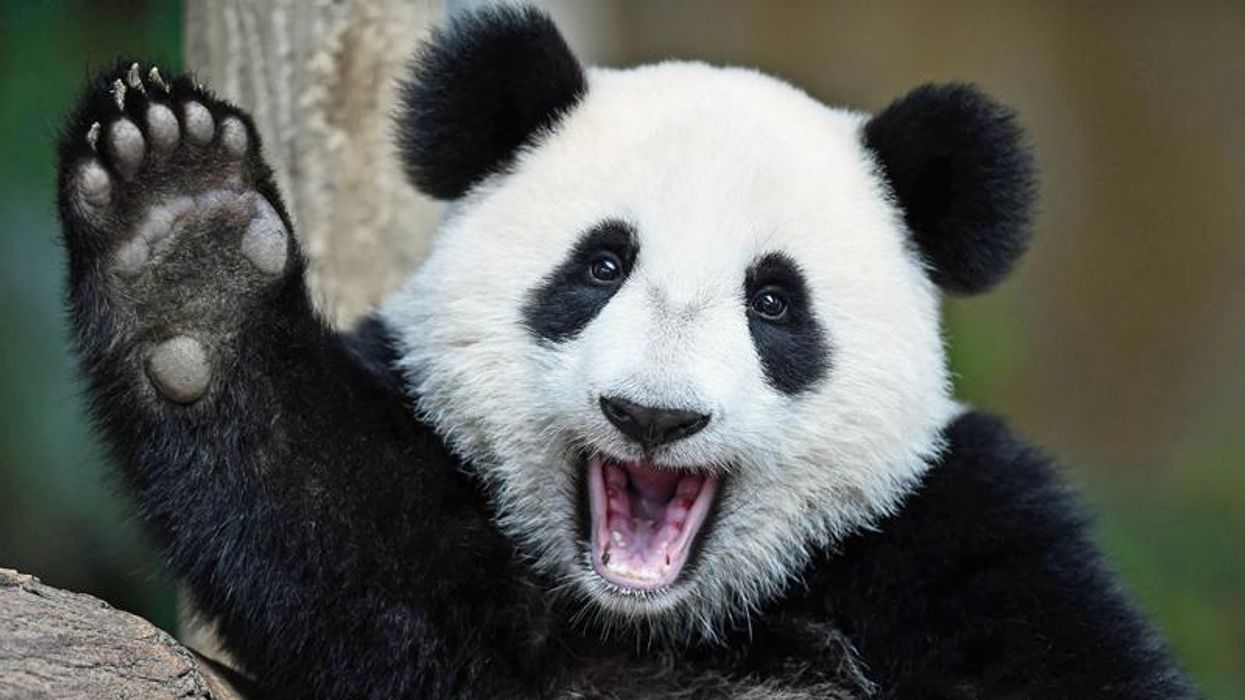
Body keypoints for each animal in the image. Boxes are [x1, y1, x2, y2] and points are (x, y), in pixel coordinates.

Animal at [56, 6, 1193, 699]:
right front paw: (186, 240)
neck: (659, 617)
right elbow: (352, 545)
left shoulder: (963, 533)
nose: (654, 416)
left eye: (774, 302)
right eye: (601, 265)